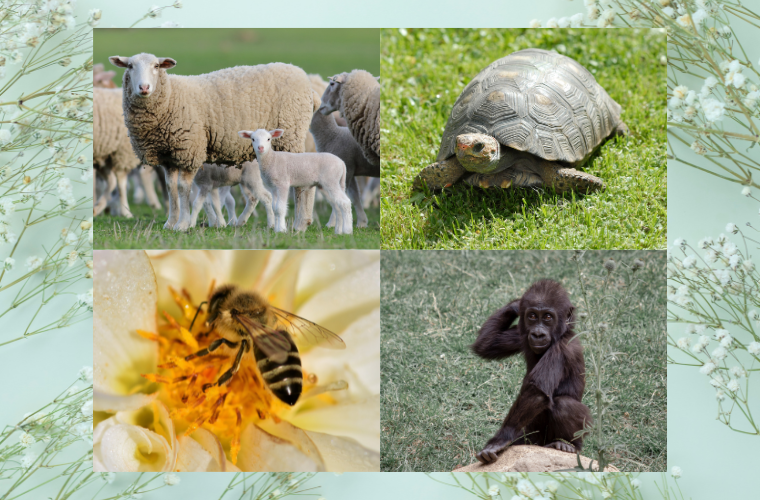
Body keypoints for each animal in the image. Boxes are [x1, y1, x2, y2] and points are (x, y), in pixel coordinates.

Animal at [109, 53, 317, 232]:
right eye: (130, 66)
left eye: (156, 66)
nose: (144, 87)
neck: (171, 96)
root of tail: (304, 78)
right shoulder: (169, 156)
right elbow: (170, 188)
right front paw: (170, 222)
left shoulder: (189, 150)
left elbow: (183, 188)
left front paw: (182, 224)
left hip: (291, 135)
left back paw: (300, 223)